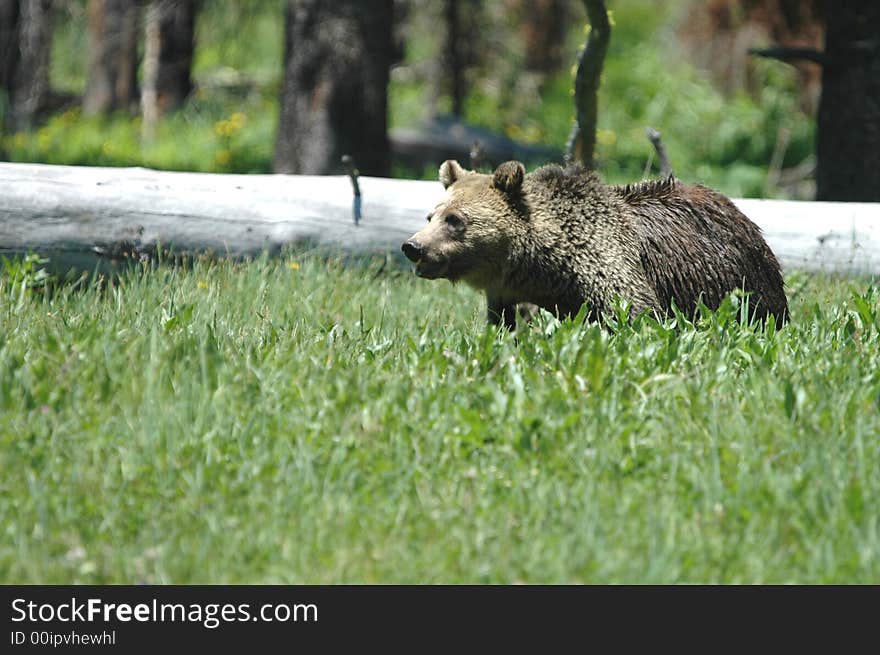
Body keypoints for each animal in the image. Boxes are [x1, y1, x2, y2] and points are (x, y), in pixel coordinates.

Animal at [402, 158, 788, 330]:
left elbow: (637, 315)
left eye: (455, 220)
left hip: (740, 280)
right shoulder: (506, 293)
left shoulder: (612, 268)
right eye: (431, 215)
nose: (413, 246)